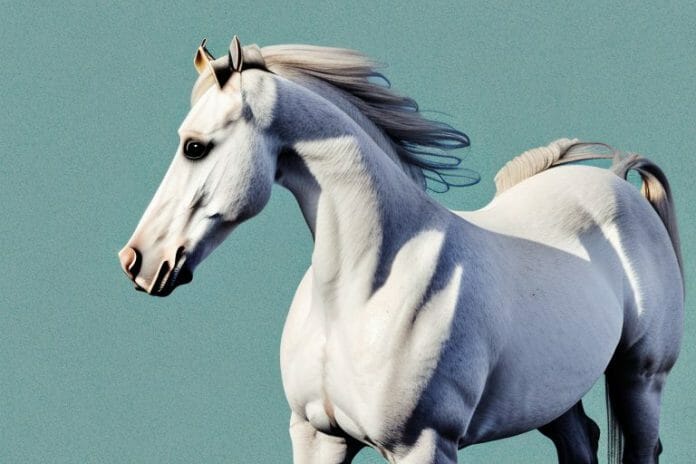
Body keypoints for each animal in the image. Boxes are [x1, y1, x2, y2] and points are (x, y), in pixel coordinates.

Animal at [118, 36, 684, 463]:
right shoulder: (318, 436)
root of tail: (616, 180)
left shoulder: (424, 444)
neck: (365, 289)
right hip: (552, 398)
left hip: (641, 380)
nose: (137, 261)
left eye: (195, 146)